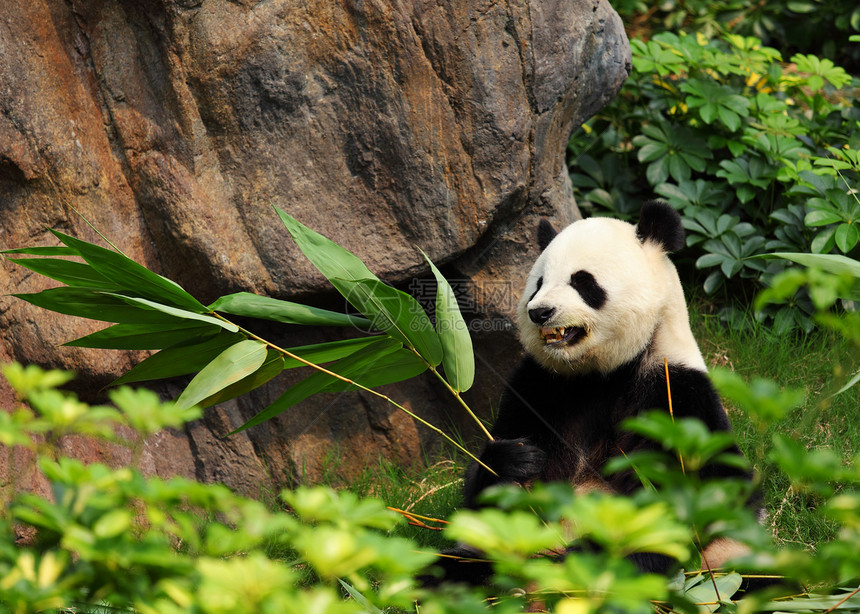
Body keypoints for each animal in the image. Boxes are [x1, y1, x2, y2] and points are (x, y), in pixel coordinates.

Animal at [430, 201, 752, 588]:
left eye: (582, 282)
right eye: (538, 284)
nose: (539, 312)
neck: (601, 373)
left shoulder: (677, 395)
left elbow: (698, 497)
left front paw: (590, 557)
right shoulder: (539, 386)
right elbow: (487, 503)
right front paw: (516, 459)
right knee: (444, 569)